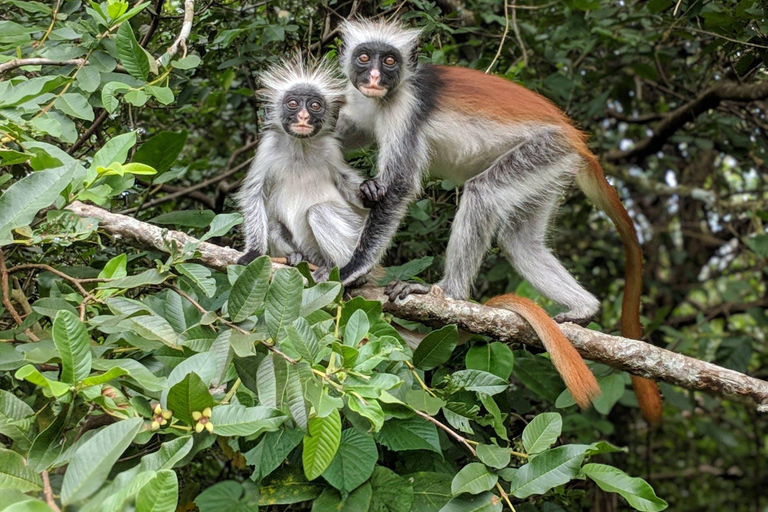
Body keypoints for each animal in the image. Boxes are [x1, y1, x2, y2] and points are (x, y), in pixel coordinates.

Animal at [236, 58, 368, 270]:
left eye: (314, 105)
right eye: (293, 103)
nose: (304, 116)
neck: (300, 146)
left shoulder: (331, 148)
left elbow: (345, 181)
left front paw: (369, 192)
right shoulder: (268, 147)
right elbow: (253, 195)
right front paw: (254, 252)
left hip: (353, 232)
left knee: (319, 211)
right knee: (274, 225)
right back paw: (296, 256)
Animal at [336, 19, 664, 424]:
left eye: (390, 61)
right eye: (364, 57)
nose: (375, 77)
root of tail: (576, 139)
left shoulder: (405, 107)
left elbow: (398, 187)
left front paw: (352, 270)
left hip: (543, 150)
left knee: (483, 193)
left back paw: (449, 293)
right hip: (550, 169)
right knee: (521, 242)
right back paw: (584, 309)